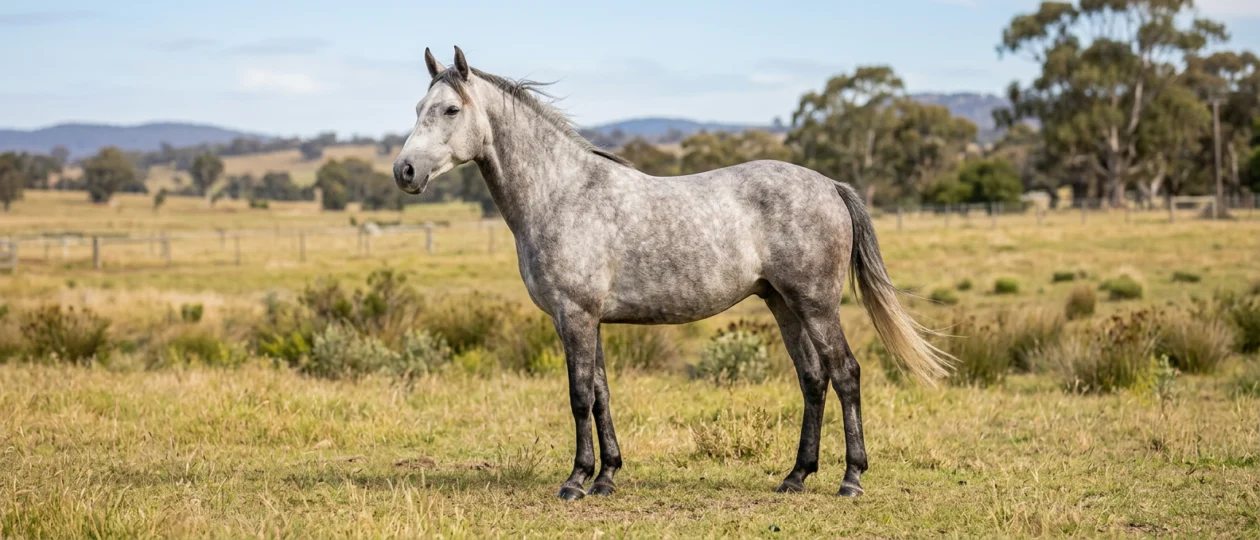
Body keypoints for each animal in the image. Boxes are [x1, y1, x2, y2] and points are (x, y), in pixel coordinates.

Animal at [393, 46, 951, 500]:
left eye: (450, 109)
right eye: (417, 108)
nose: (404, 172)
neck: (561, 193)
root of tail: (830, 184)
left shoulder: (575, 316)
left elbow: (578, 396)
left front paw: (576, 481)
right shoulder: (588, 320)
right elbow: (601, 394)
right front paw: (607, 477)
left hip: (815, 304)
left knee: (845, 374)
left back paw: (851, 479)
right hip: (782, 303)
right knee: (813, 379)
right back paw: (795, 477)